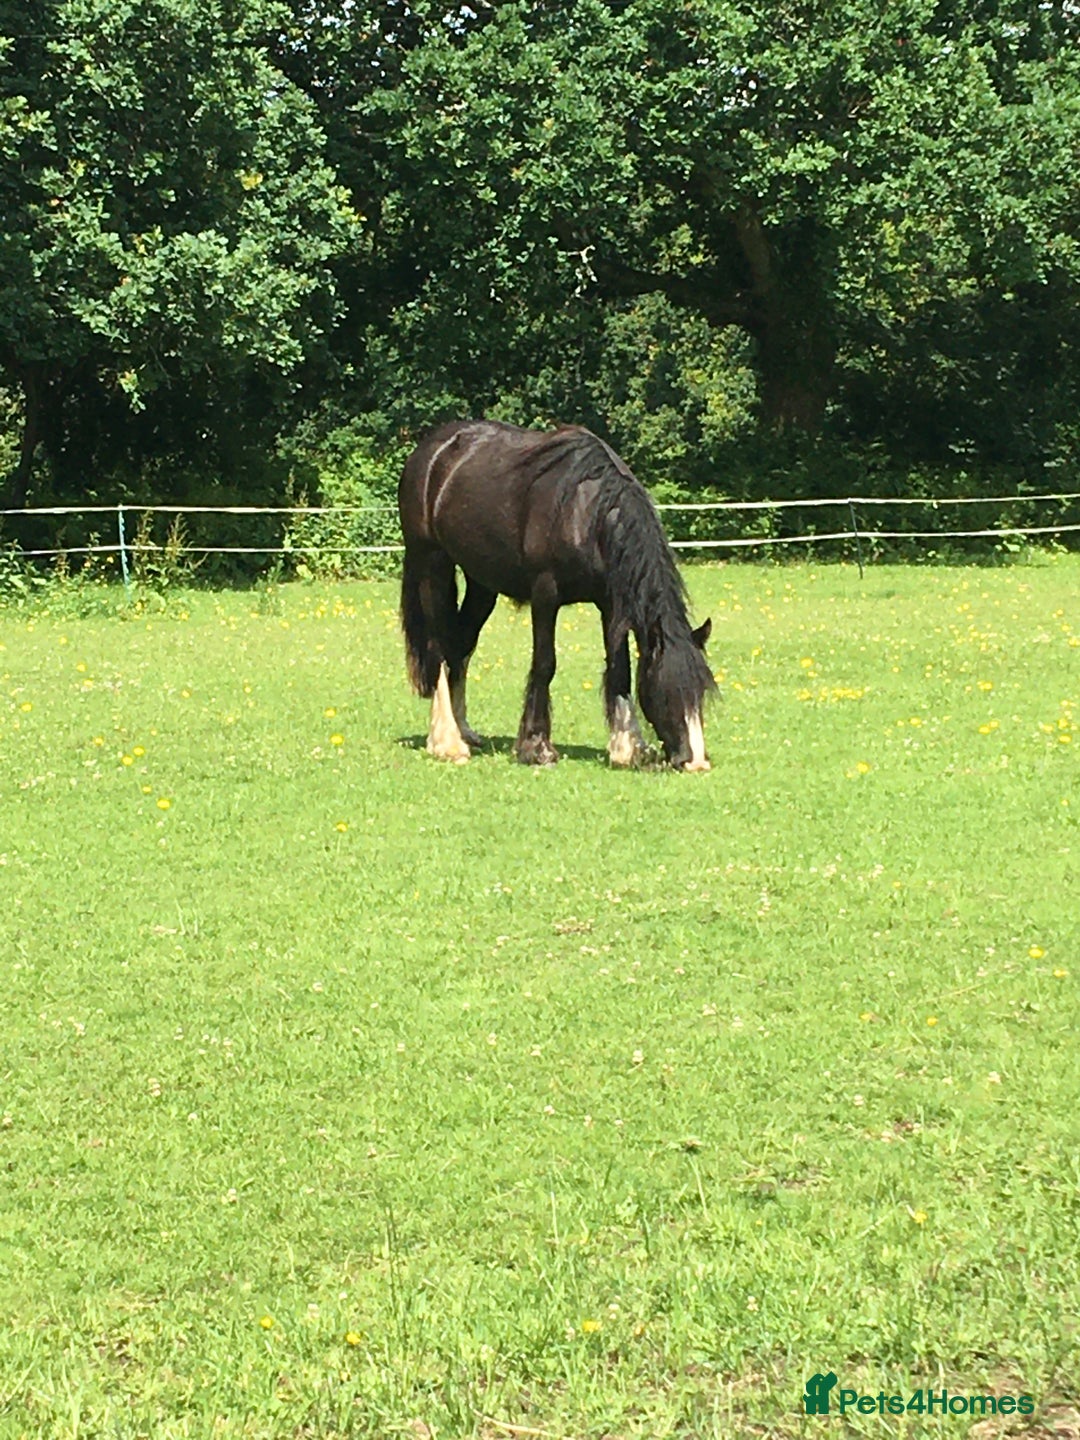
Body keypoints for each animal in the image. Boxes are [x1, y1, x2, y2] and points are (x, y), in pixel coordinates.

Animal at [398, 420, 715, 770]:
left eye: (701, 694)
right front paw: (536, 747)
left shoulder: (610, 603)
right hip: (432, 564)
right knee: (438, 647)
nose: (696, 762)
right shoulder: (545, 595)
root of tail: (430, 450)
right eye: (668, 691)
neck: (585, 512)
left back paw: (464, 730)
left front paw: (627, 747)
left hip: (482, 584)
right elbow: (545, 663)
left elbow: (620, 668)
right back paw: (447, 743)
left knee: (460, 646)